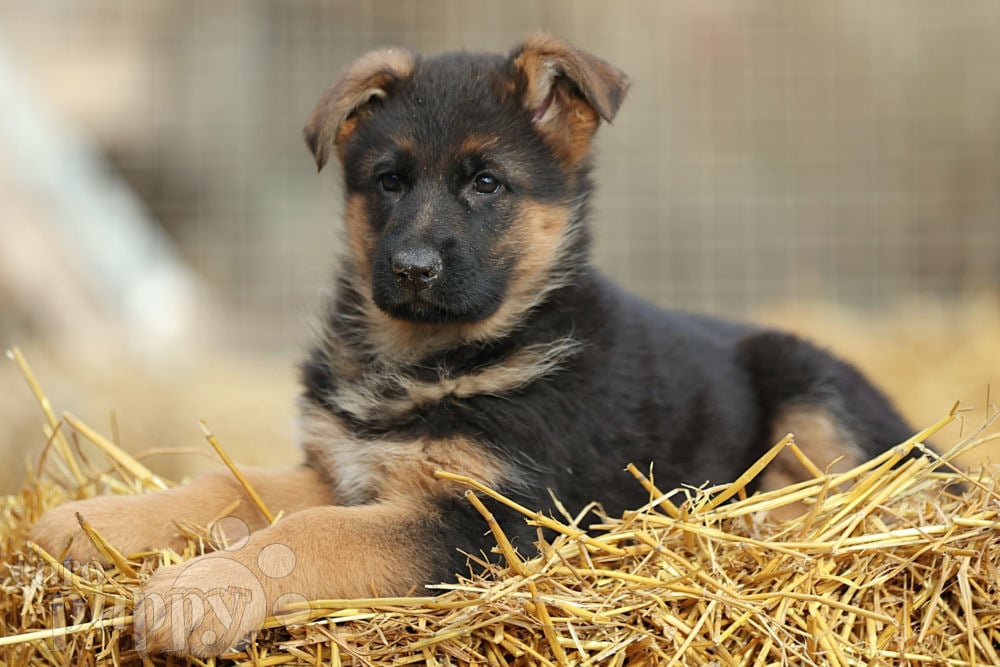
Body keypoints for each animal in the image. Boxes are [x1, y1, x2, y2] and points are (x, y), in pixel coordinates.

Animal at [29, 32, 916, 656]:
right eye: (388, 180)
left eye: (486, 183)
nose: (413, 268)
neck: (432, 356)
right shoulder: (347, 469)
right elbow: (225, 485)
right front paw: (90, 518)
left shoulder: (486, 521)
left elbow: (307, 534)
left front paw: (200, 589)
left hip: (811, 385)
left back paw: (771, 515)